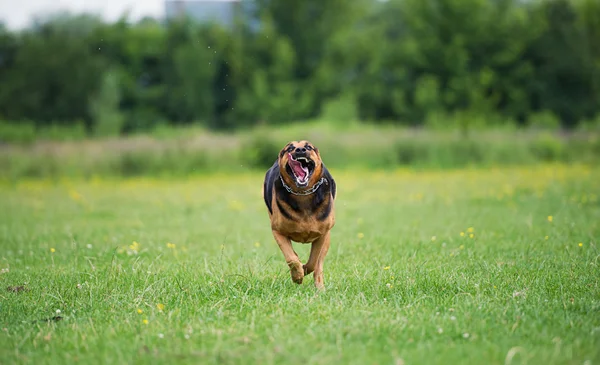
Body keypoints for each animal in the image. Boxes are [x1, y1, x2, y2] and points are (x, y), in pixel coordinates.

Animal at [262, 141, 338, 288]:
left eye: (309, 147)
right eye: (290, 148)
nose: (300, 150)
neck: (303, 194)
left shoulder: (322, 234)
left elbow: (314, 261)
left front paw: (304, 270)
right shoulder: (277, 231)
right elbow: (292, 258)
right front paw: (297, 276)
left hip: (328, 236)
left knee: (319, 264)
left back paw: (320, 287)